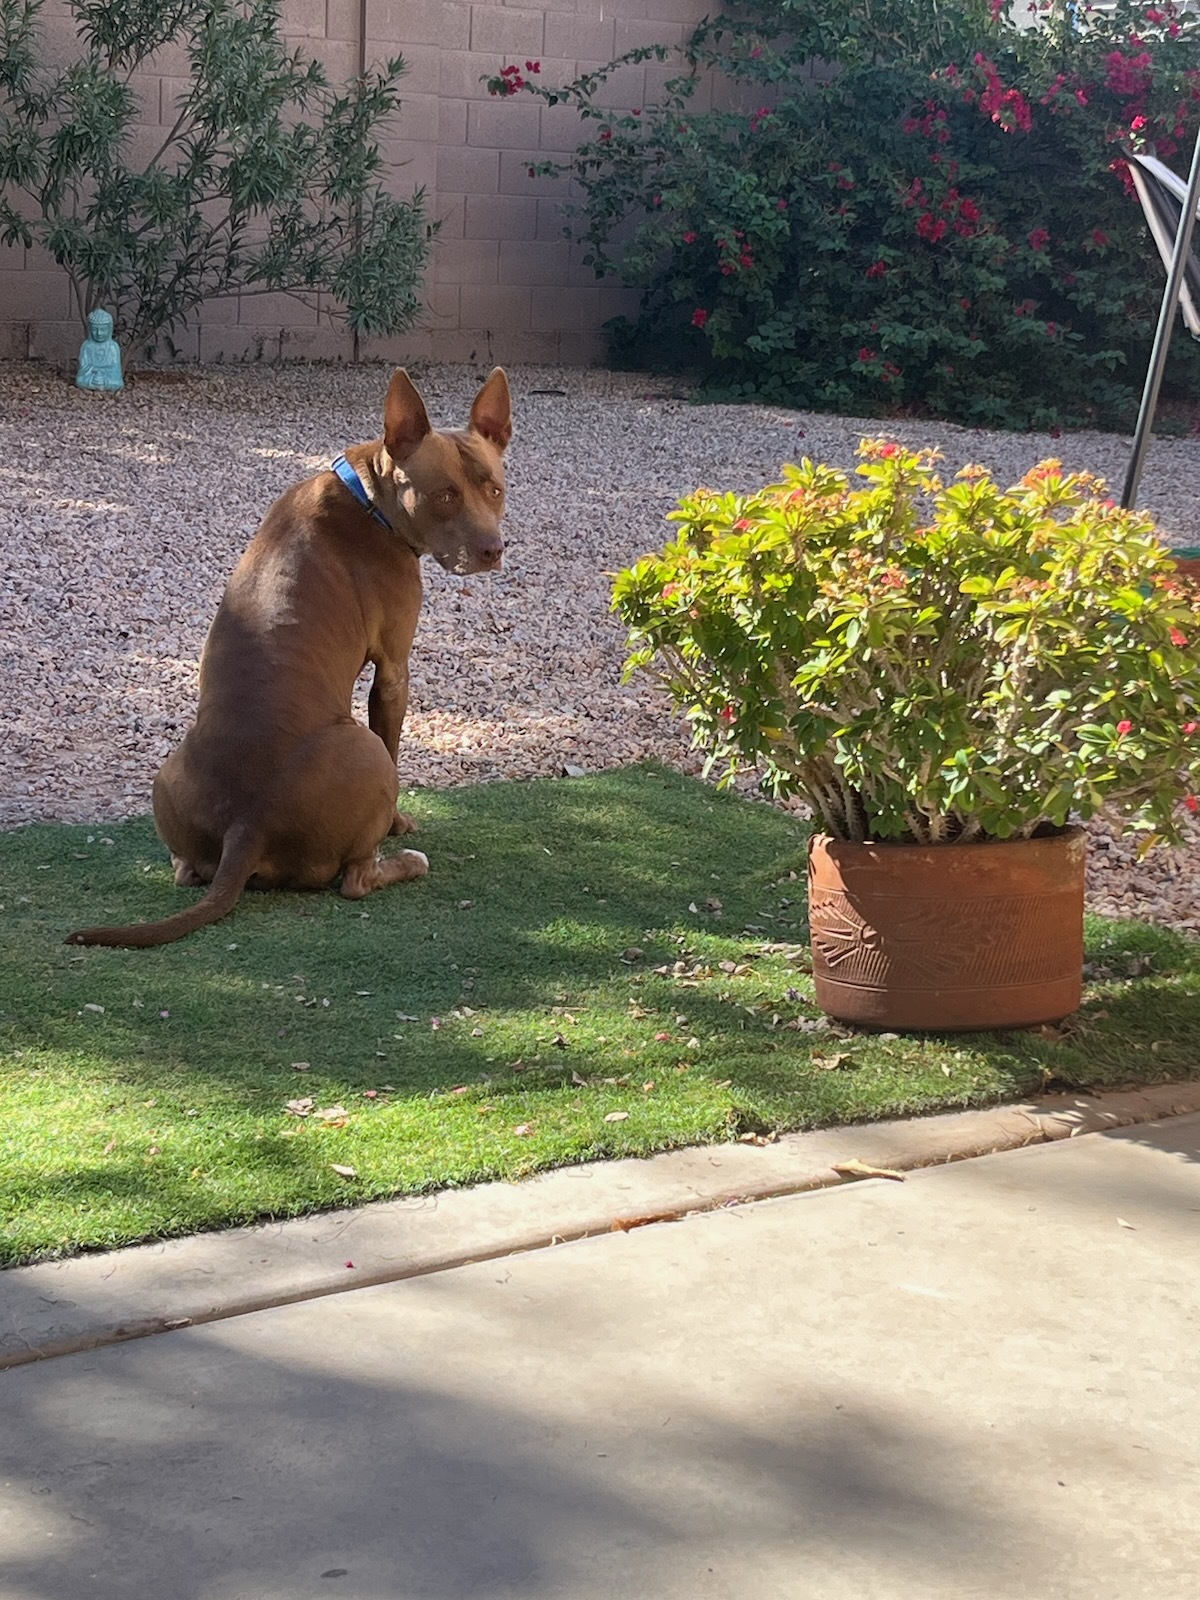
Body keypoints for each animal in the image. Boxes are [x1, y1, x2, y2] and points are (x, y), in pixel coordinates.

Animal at [68, 368, 515, 940]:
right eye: (444, 496)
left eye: (495, 489)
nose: (492, 550)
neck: (368, 497)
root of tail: (247, 824)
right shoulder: (394, 670)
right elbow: (395, 737)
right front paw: (399, 825)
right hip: (365, 756)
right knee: (356, 879)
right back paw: (406, 862)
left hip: (168, 776)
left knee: (187, 870)